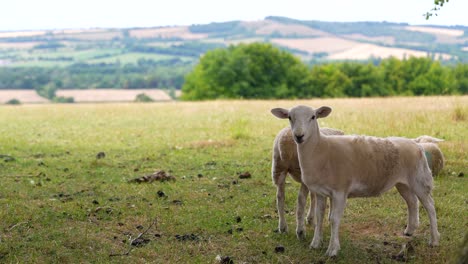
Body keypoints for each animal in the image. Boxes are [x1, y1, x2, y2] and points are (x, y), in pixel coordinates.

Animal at [270, 105, 438, 258]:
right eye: (289, 117)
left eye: (313, 117)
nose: (299, 136)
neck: (320, 149)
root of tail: (416, 144)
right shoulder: (320, 192)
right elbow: (319, 216)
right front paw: (315, 244)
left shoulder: (340, 191)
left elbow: (334, 219)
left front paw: (332, 250)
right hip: (403, 183)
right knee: (412, 202)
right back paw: (410, 230)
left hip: (419, 180)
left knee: (430, 206)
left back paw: (434, 239)